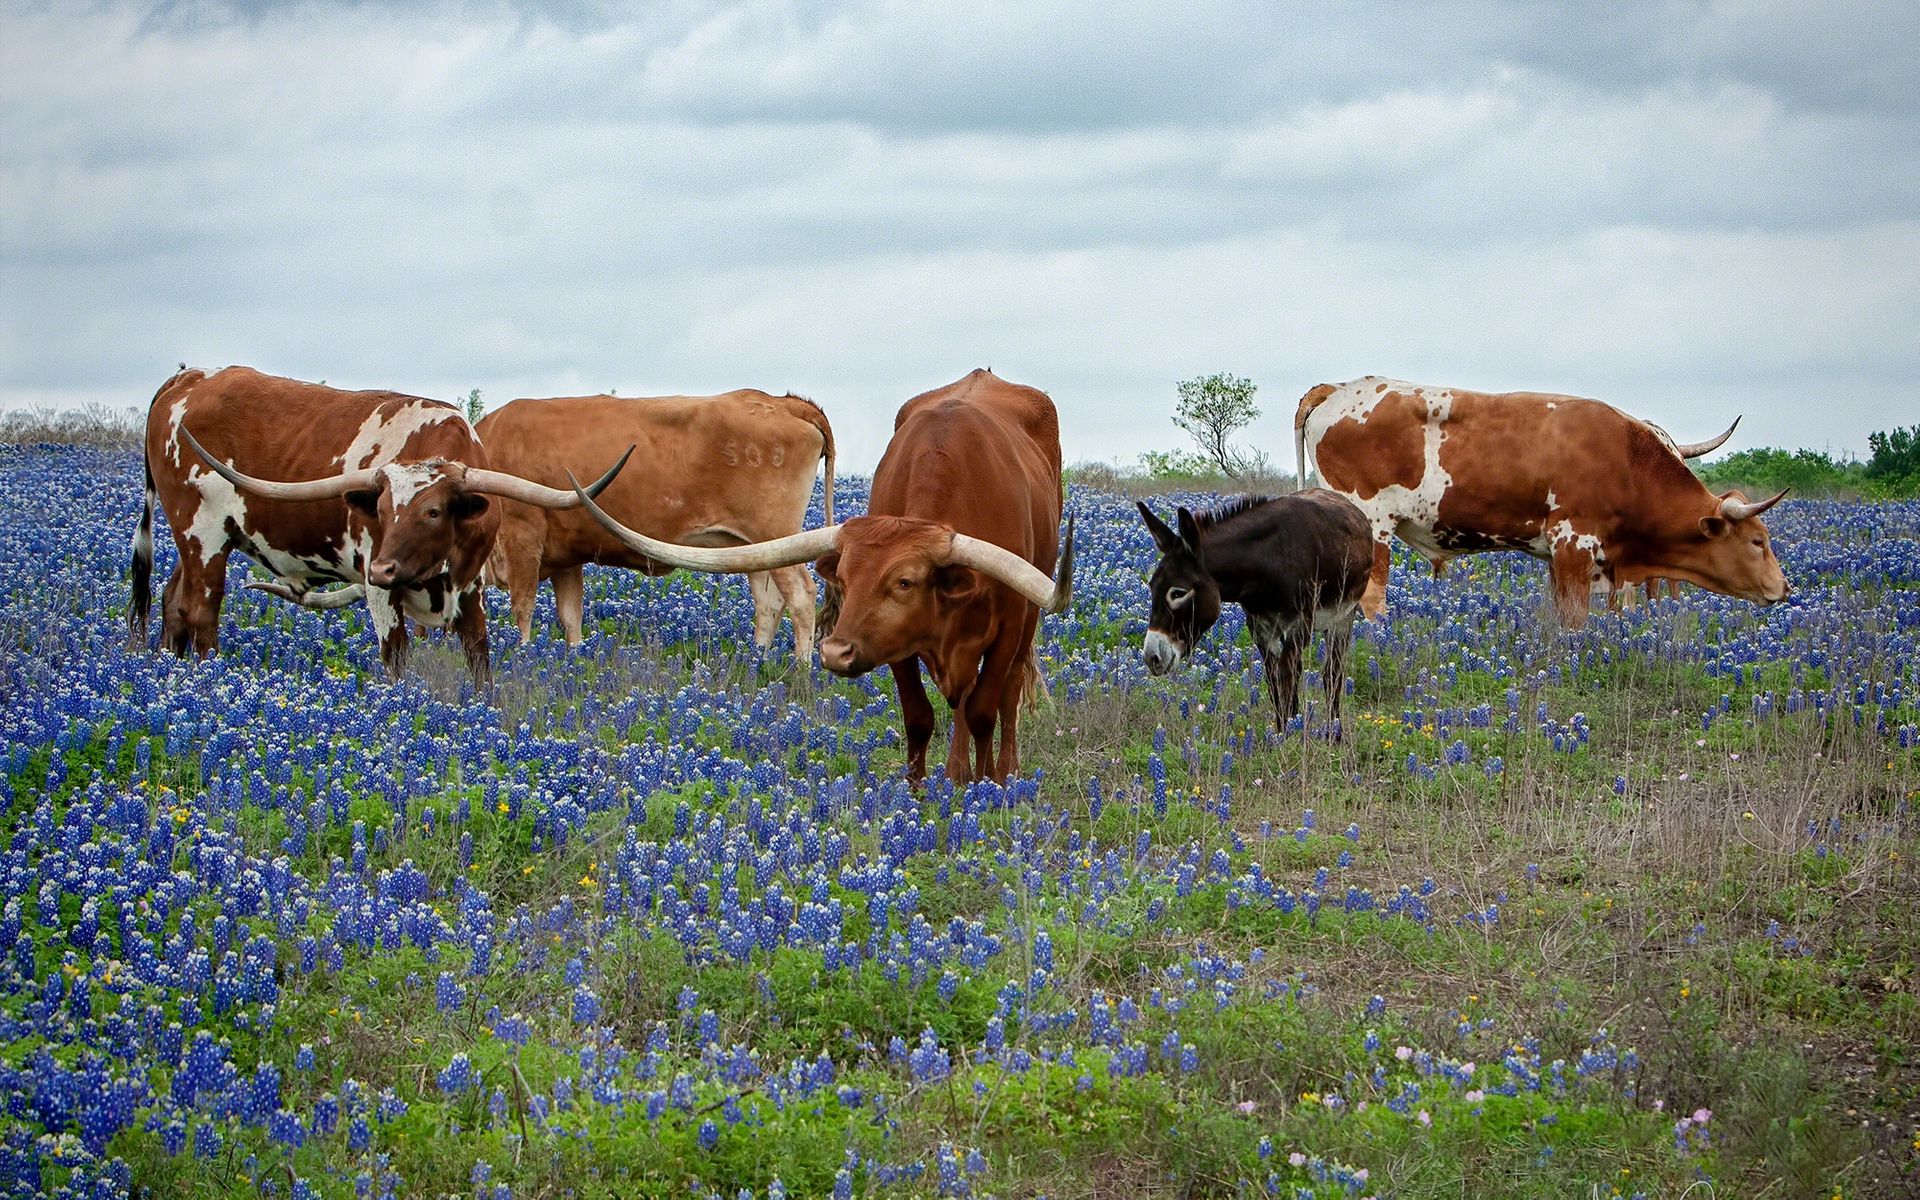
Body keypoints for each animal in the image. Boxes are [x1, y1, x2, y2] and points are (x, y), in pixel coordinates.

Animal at [131, 364, 625, 683]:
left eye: (433, 511)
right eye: (382, 510)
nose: (385, 568)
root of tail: (189, 378)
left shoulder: (471, 588)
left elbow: (479, 659)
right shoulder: (379, 591)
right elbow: (397, 658)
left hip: (199, 539)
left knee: (174, 603)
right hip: (202, 533)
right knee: (201, 612)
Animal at [472, 387, 833, 660]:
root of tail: (783, 402)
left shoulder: (522, 541)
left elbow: (523, 610)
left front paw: (522, 658)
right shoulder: (566, 557)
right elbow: (571, 617)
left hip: (776, 533)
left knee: (801, 595)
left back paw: (801, 671)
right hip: (757, 548)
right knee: (768, 602)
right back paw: (758, 662)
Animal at [556, 370, 1075, 791]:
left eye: (905, 582)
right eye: (844, 576)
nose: (834, 652)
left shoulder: (1009, 626)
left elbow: (986, 709)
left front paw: (986, 790)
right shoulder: (896, 645)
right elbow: (919, 716)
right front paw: (918, 793)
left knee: (1003, 696)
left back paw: (999, 773)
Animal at [1297, 376, 1789, 625]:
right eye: (1757, 542)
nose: (1784, 589)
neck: (1628, 461)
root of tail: (1337, 388)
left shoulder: (1563, 557)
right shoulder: (1574, 546)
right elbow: (1575, 621)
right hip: (1370, 526)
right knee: (1370, 599)